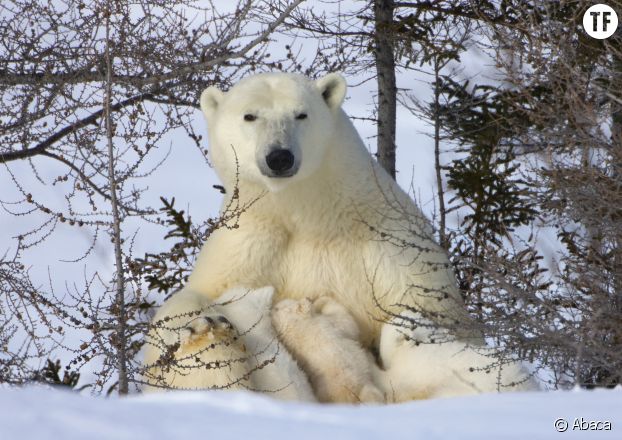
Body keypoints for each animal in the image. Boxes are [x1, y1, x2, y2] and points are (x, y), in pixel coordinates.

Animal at [146, 71, 520, 396]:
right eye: (249, 116)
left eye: (301, 114)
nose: (279, 157)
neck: (307, 210)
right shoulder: (249, 242)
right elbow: (196, 298)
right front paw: (204, 336)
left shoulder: (391, 248)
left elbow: (427, 315)